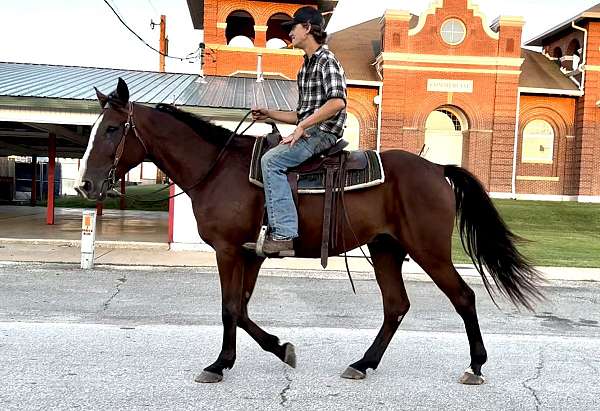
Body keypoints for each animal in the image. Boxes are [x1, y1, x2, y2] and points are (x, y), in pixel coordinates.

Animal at [75, 78, 544, 386]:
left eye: (112, 128)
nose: (85, 185)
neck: (218, 169)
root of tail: (438, 169)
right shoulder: (251, 253)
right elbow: (241, 308)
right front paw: (276, 350)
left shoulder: (228, 250)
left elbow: (230, 308)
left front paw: (219, 365)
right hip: (387, 249)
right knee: (396, 306)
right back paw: (363, 363)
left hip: (427, 250)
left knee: (463, 297)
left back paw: (476, 366)